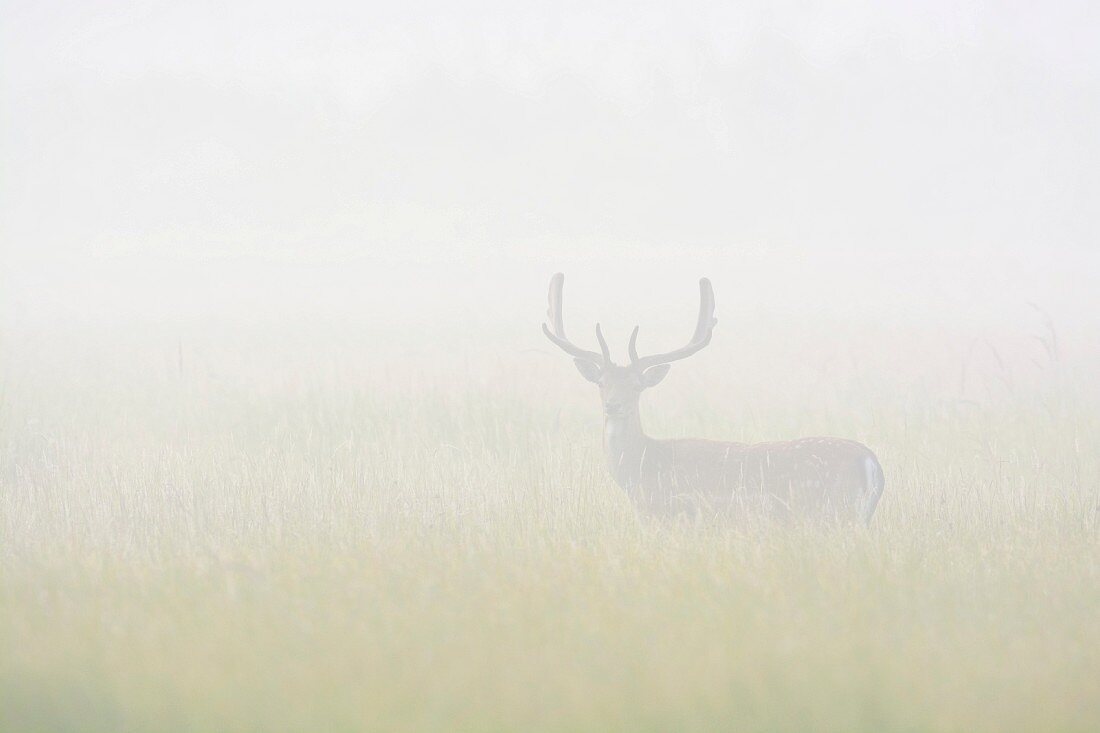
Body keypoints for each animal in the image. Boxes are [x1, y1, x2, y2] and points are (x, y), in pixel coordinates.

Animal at [541, 272, 884, 519]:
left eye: (637, 386)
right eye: (601, 383)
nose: (614, 405)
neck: (641, 473)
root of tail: (870, 461)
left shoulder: (675, 515)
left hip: (834, 512)